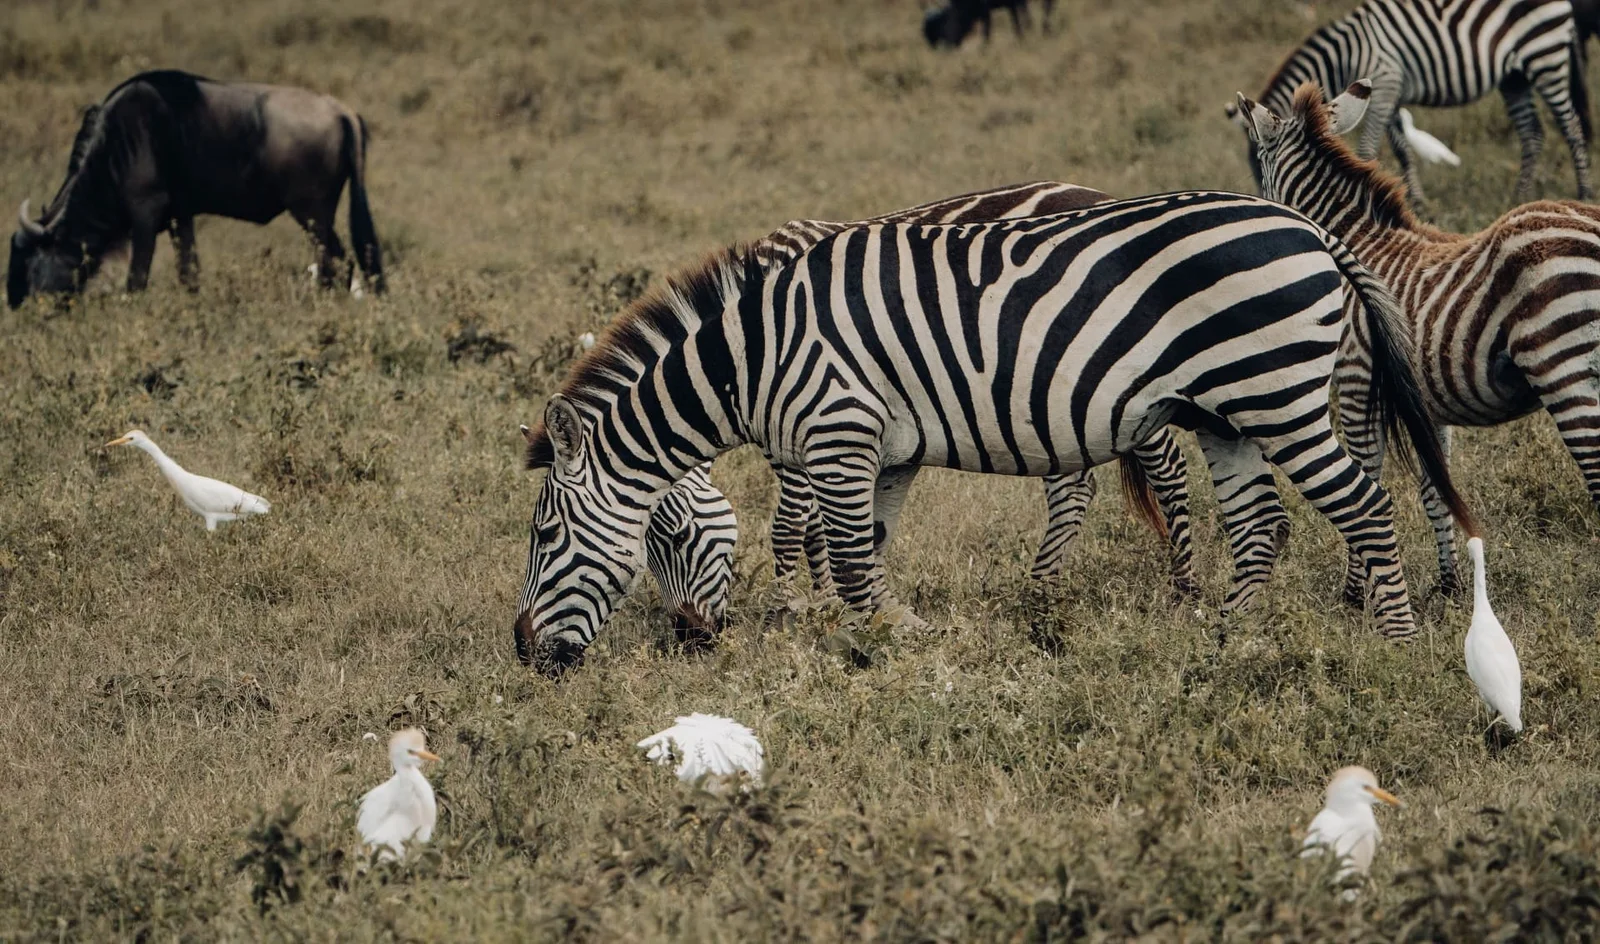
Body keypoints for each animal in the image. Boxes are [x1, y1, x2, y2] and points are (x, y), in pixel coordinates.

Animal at [512, 190, 1476, 674]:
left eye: (545, 534)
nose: (522, 656)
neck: (755, 354)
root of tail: (1311, 228)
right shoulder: (882, 452)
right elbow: (865, 553)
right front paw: (873, 635)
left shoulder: (839, 431)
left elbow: (848, 558)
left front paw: (883, 649)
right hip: (1222, 411)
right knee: (1262, 523)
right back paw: (1224, 636)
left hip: (1276, 388)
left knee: (1363, 504)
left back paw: (1395, 646)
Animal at [1224, 0, 1593, 204]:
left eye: (1260, 166)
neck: (1345, 56)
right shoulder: (1390, 92)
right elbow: (1402, 149)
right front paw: (1416, 198)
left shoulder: (1385, 83)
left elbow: (1368, 147)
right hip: (1514, 77)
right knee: (1533, 133)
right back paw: (1519, 196)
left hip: (1545, 55)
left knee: (1571, 127)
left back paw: (1585, 192)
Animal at [1238, 78, 1600, 598]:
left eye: (1261, 173)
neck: (1353, 248)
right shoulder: (1428, 402)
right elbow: (1436, 489)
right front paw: (1449, 584)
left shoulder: (1356, 381)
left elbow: (1365, 479)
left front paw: (1355, 594)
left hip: (1564, 366)